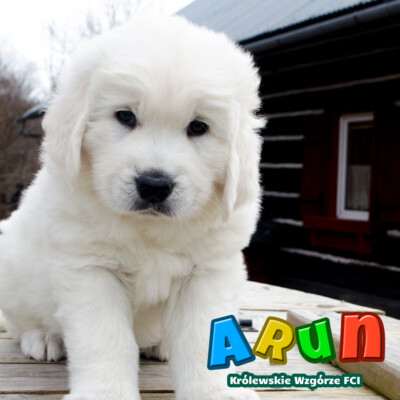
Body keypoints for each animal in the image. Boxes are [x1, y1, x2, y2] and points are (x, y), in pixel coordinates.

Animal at [0, 15, 264, 400]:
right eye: (124, 116)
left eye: (198, 127)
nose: (154, 185)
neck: (149, 228)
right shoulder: (91, 269)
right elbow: (106, 341)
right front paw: (105, 393)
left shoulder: (207, 273)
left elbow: (204, 337)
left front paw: (215, 392)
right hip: (13, 269)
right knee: (20, 321)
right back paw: (44, 338)